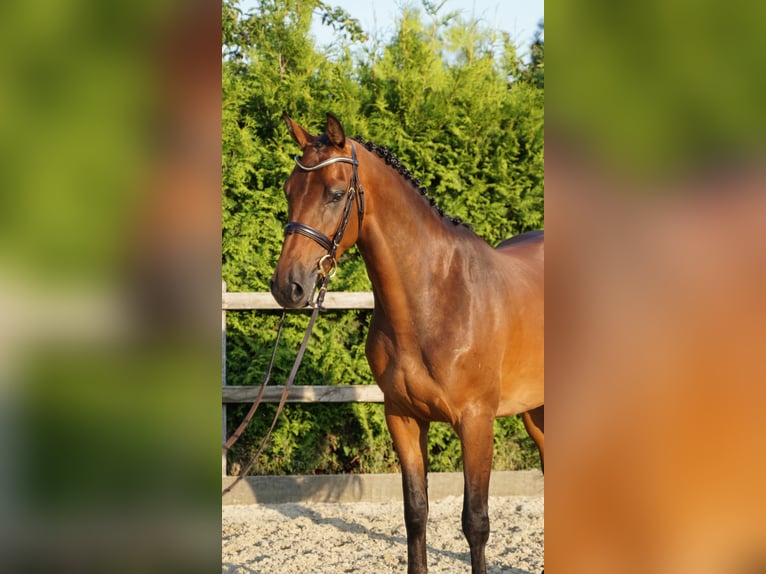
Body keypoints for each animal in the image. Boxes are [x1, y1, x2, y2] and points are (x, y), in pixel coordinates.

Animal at [270, 113, 544, 574]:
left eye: (336, 194)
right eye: (290, 190)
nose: (287, 286)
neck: (435, 297)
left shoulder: (476, 422)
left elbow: (476, 521)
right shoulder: (403, 417)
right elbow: (415, 512)